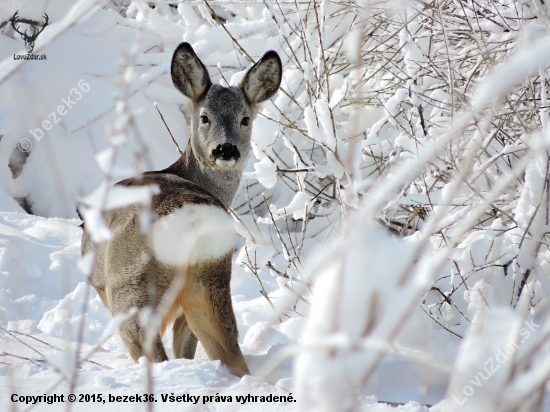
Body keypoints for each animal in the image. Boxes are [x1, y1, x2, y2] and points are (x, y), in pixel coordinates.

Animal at [82, 41, 284, 376]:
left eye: (245, 119)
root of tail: (190, 219)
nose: (225, 149)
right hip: (209, 280)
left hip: (129, 289)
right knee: (228, 352)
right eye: (204, 117)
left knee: (152, 352)